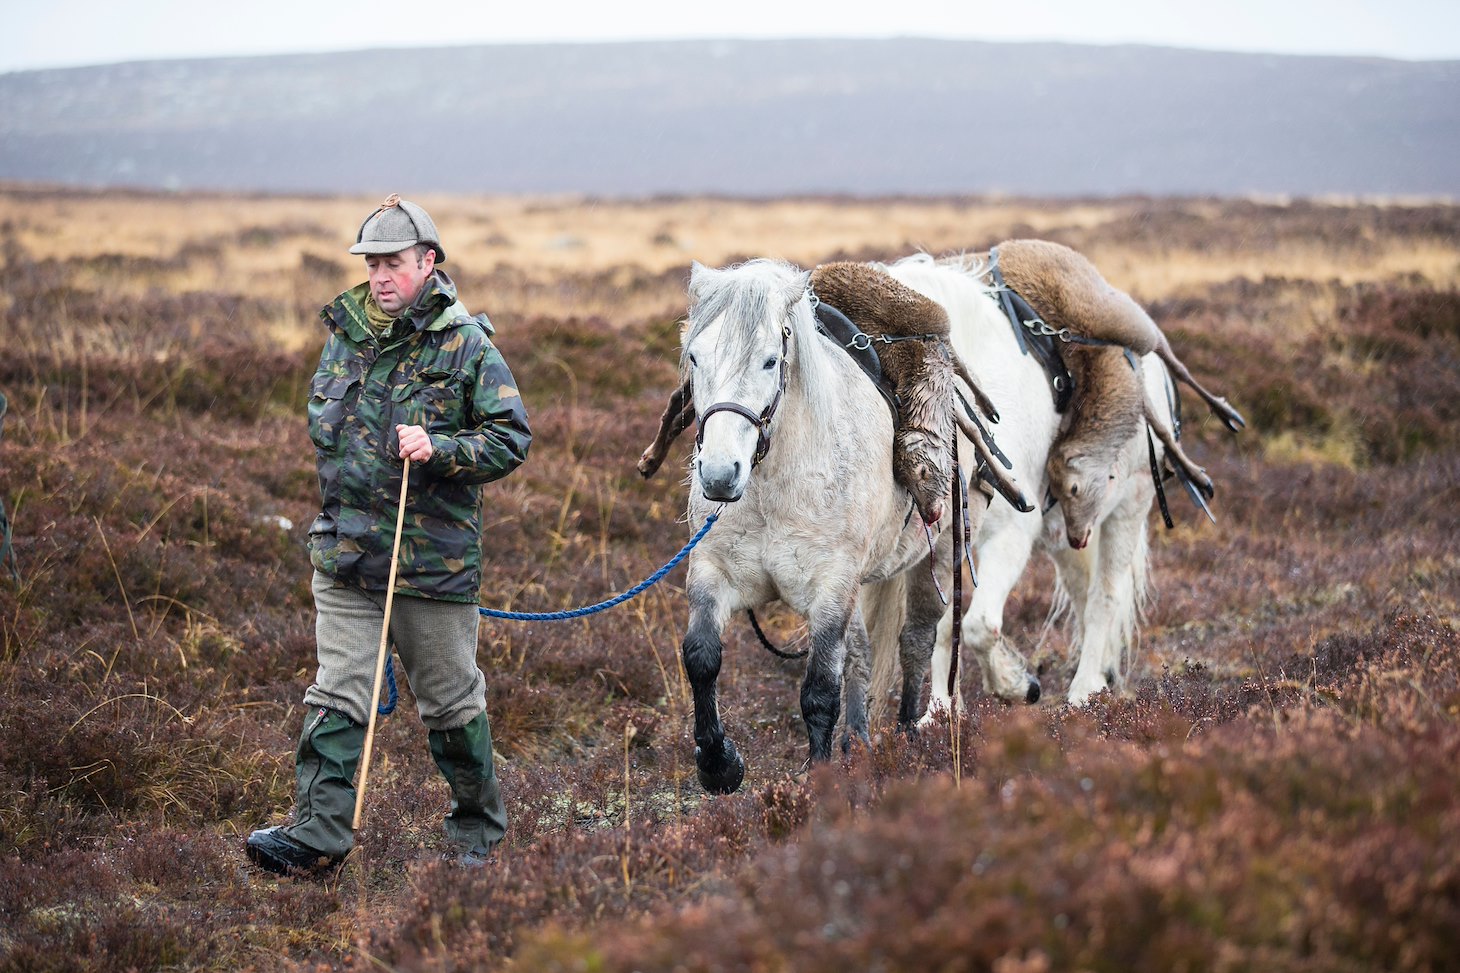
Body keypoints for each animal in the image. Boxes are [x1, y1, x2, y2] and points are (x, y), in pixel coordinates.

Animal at [864, 254, 1185, 710]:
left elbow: (978, 625)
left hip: (1129, 505)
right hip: (1068, 533)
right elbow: (945, 628)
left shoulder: (1011, 534)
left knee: (1103, 599)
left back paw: (1083, 692)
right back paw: (1098, 680)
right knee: (1083, 592)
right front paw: (941, 712)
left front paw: (1015, 684)